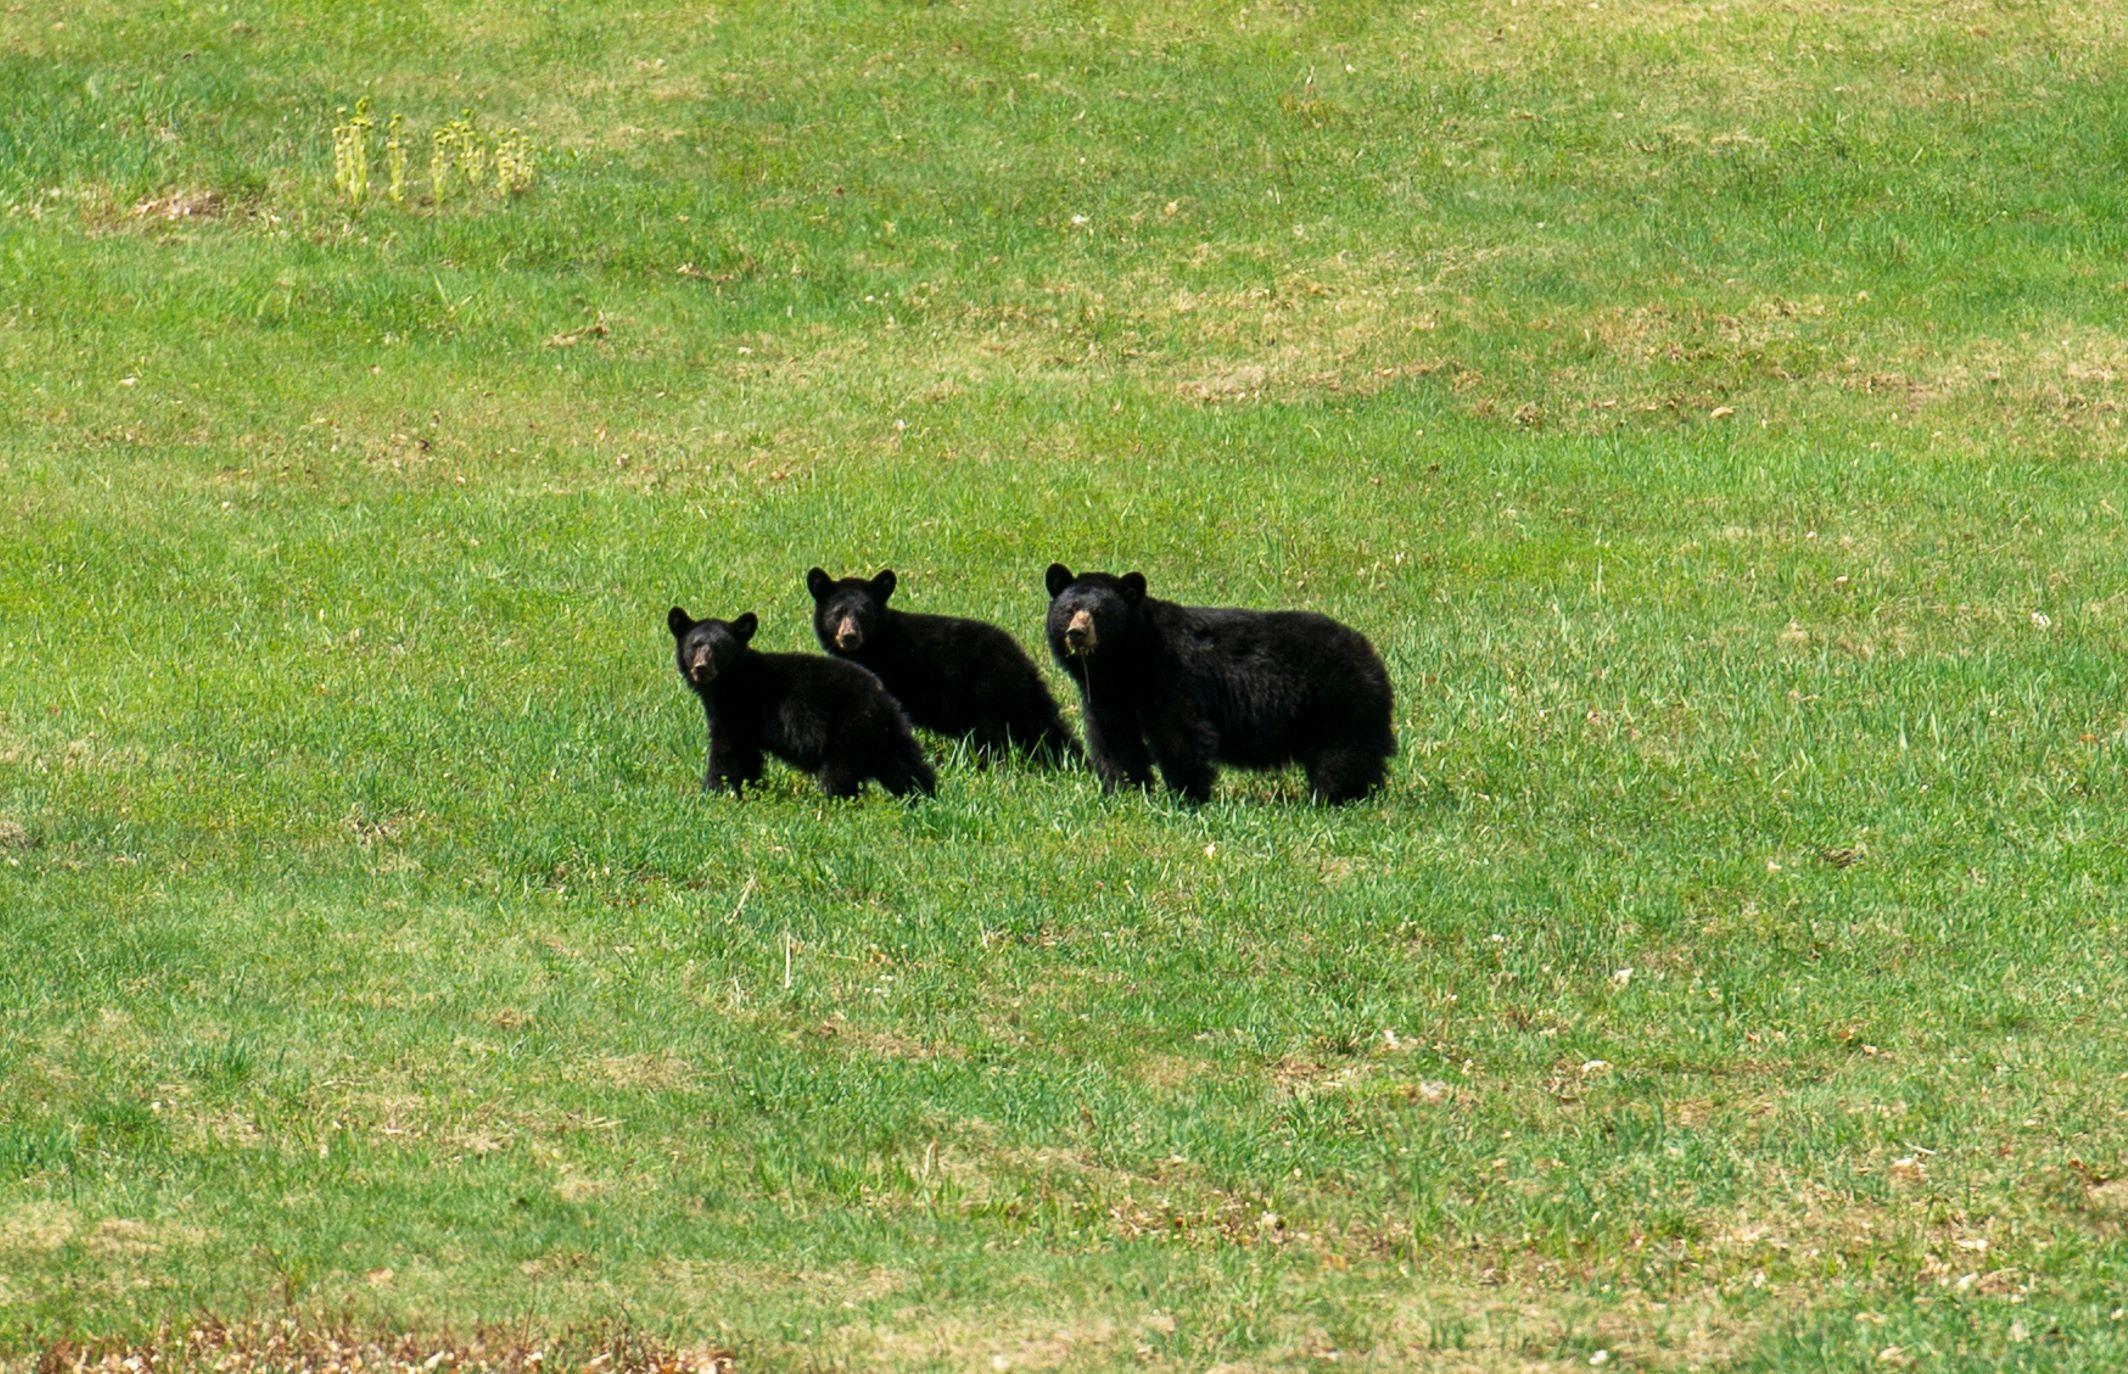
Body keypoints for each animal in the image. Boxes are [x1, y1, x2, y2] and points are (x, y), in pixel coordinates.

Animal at [668, 605, 936, 800]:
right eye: (695, 645)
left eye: (719, 647)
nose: (701, 668)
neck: (727, 682)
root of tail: (882, 698)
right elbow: (748, 756)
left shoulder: (737, 708)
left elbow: (727, 752)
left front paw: (712, 792)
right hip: (888, 734)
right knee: (906, 765)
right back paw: (925, 796)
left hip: (849, 729)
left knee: (840, 774)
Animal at [806, 567, 1079, 765]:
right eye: (837, 613)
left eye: (864, 614)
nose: (849, 636)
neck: (873, 649)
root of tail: (1021, 659)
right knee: (1045, 724)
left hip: (989, 689)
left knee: (995, 734)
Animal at [1042, 564, 1394, 804]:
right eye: (1069, 610)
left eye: (1099, 612)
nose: (1076, 633)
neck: (1123, 663)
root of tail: (1372, 657)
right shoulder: (1105, 694)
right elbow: (1113, 737)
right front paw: (1123, 790)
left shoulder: (1169, 673)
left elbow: (1180, 732)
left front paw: (1187, 795)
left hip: (1336, 702)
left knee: (1340, 756)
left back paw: (1335, 797)